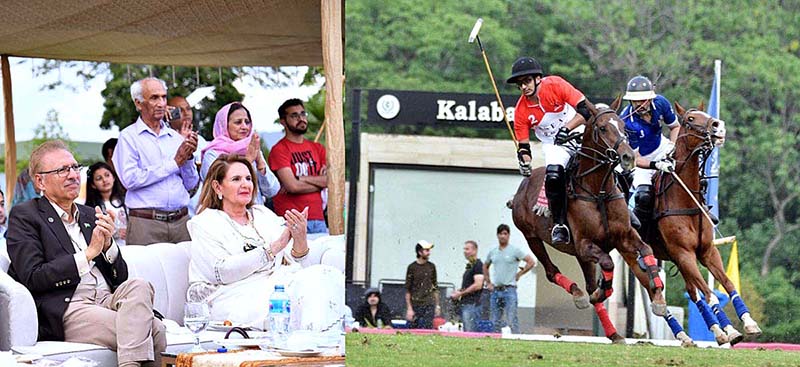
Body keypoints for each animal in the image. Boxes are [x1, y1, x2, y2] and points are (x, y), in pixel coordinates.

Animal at [510, 99, 664, 344]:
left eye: (623, 125)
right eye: (602, 128)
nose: (628, 157)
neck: (598, 190)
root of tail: (523, 185)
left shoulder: (624, 237)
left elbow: (646, 250)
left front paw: (658, 298)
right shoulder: (585, 244)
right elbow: (608, 264)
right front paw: (603, 290)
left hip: (578, 254)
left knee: (588, 281)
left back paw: (613, 333)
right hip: (532, 237)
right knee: (552, 271)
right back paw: (580, 295)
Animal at [648, 102, 760, 346]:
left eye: (705, 114)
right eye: (690, 119)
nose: (719, 126)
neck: (685, 199)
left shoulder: (706, 251)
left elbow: (727, 284)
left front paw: (748, 323)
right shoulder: (685, 253)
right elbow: (709, 293)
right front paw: (731, 330)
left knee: (691, 291)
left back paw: (708, 333)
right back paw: (686, 334)